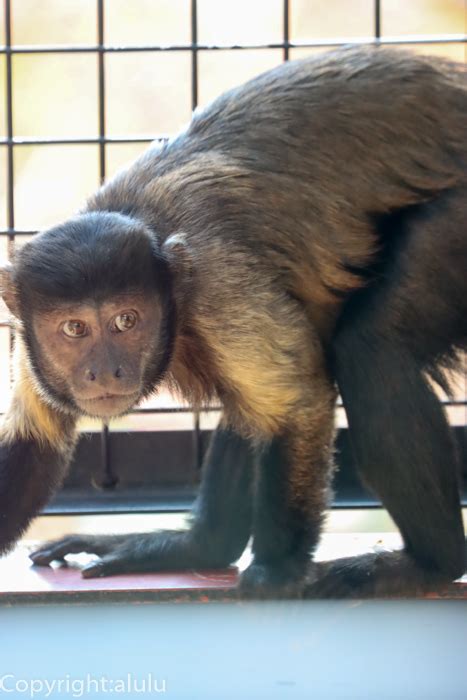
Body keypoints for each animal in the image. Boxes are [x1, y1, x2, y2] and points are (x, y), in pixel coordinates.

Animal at [0, 46, 467, 600]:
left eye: (126, 321)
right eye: (74, 329)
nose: (105, 371)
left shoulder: (218, 285)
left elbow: (298, 403)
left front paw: (277, 572)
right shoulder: (26, 333)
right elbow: (33, 442)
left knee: (370, 350)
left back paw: (432, 564)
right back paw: (200, 549)